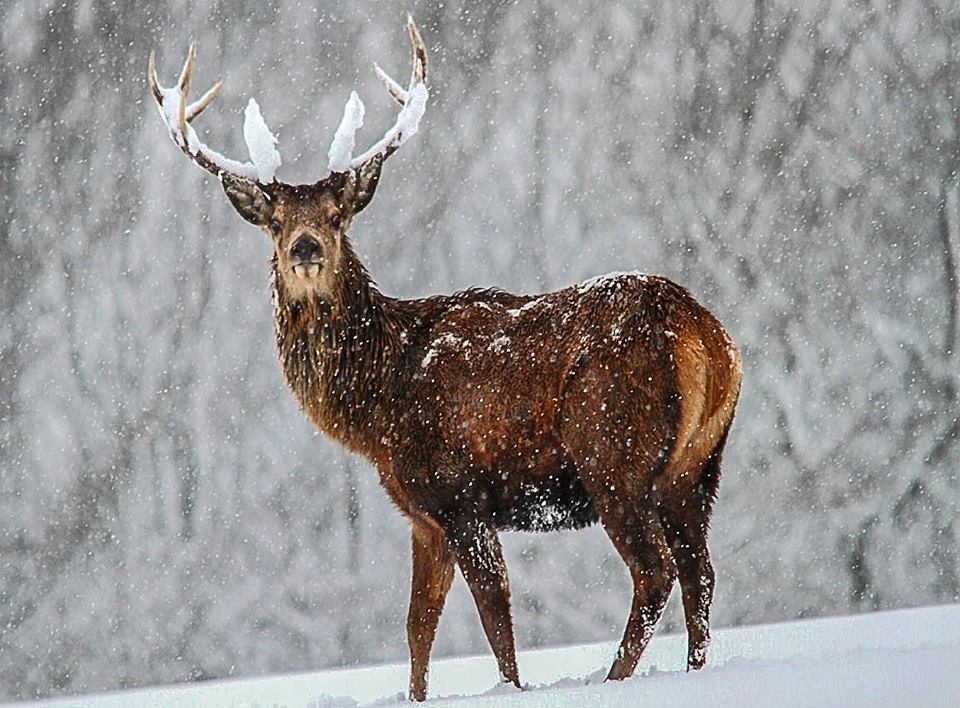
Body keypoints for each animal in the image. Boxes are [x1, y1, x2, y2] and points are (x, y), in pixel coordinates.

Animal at [148, 17, 742, 702]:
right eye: (274, 221)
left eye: (337, 215)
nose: (304, 247)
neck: (379, 402)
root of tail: (704, 335)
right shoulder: (422, 515)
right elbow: (417, 625)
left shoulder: (459, 493)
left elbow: (496, 615)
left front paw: (513, 689)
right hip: (697, 468)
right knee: (701, 572)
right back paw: (695, 670)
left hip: (613, 452)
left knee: (655, 572)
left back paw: (611, 679)